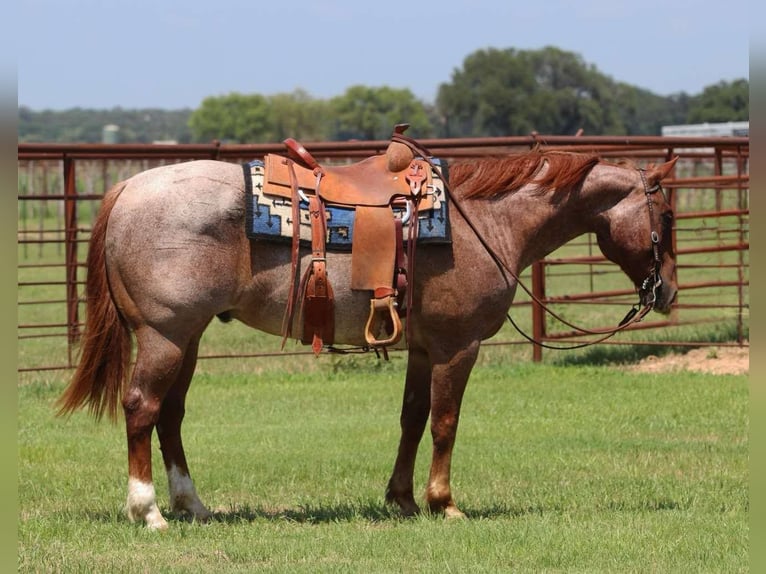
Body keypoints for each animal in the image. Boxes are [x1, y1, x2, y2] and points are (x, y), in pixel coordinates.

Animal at [57, 139, 678, 530]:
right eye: (667, 218)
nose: (668, 291)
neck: (486, 221)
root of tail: (127, 188)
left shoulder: (424, 348)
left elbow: (412, 419)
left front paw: (402, 500)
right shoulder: (458, 346)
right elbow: (446, 422)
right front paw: (444, 503)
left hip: (187, 338)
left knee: (171, 415)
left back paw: (193, 505)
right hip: (164, 334)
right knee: (142, 407)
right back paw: (149, 511)